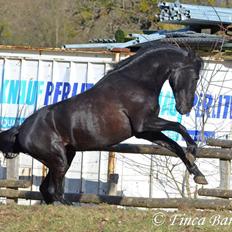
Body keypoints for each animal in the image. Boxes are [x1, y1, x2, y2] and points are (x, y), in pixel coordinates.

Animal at [0, 42, 207, 204]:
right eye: (195, 77)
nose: (185, 108)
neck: (137, 82)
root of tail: (21, 130)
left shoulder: (145, 132)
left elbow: (173, 146)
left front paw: (198, 175)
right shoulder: (145, 123)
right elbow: (179, 127)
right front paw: (193, 149)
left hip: (64, 157)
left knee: (46, 189)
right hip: (59, 160)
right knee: (54, 191)